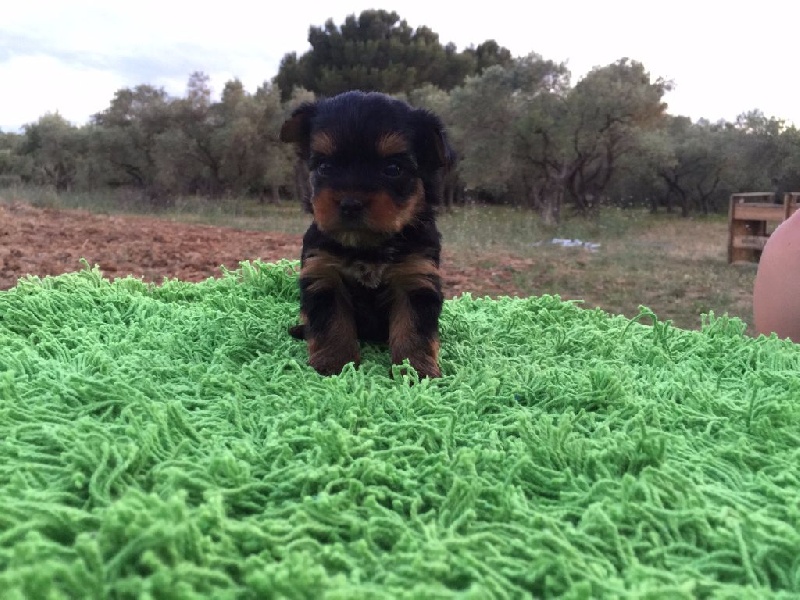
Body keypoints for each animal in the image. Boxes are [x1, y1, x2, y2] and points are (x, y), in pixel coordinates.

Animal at [279, 91, 453, 378]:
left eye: (393, 169)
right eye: (325, 167)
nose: (350, 203)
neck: (367, 246)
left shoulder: (415, 276)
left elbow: (413, 328)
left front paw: (415, 369)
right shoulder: (323, 272)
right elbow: (331, 323)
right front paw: (334, 364)